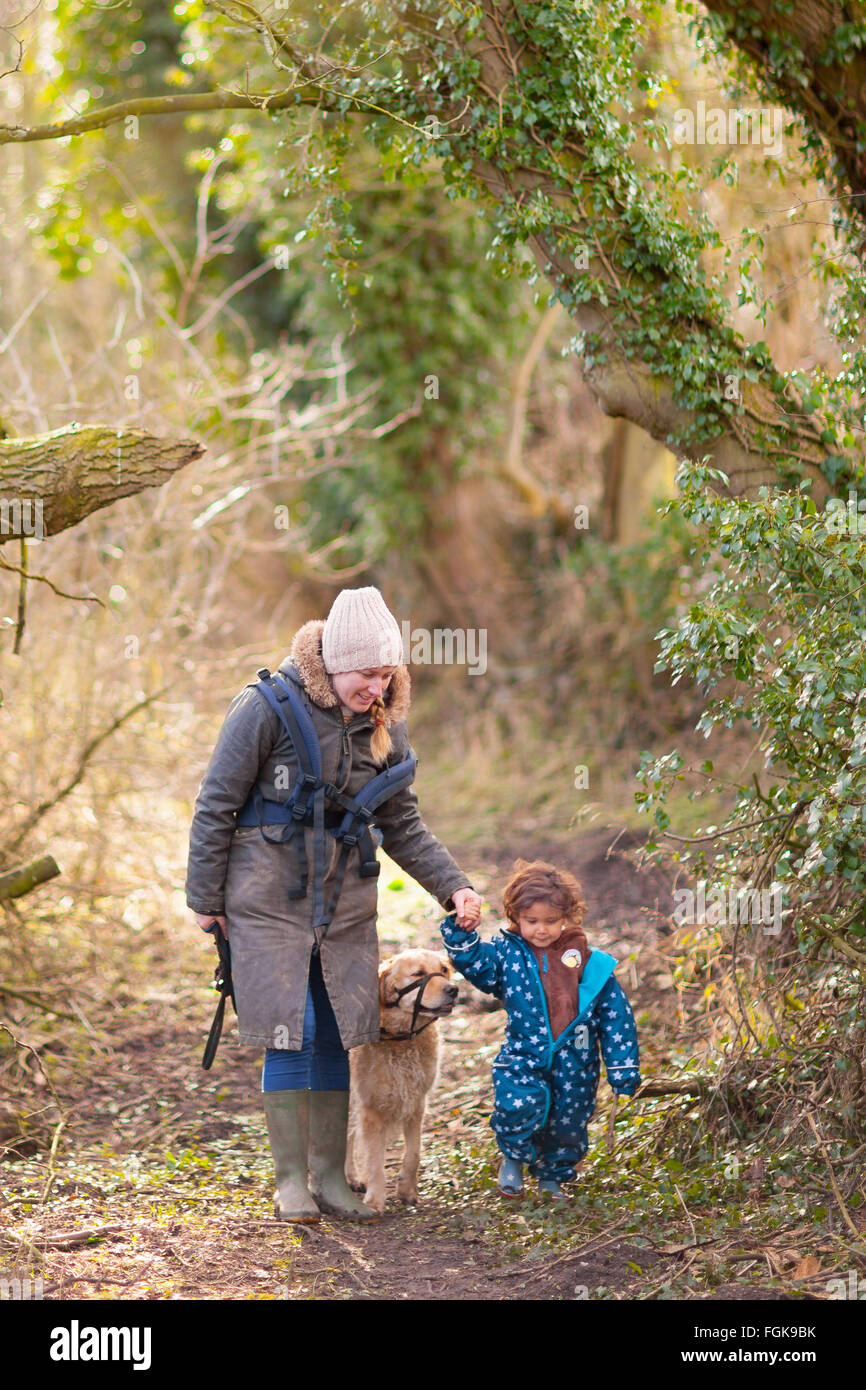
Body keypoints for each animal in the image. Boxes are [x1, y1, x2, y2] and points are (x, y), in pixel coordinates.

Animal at [347, 950, 461, 1212]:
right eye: (418, 973)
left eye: (443, 970)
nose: (453, 989)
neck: (400, 1039)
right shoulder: (370, 1109)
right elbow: (375, 1160)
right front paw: (375, 1200)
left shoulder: (416, 1104)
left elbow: (414, 1153)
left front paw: (407, 1190)